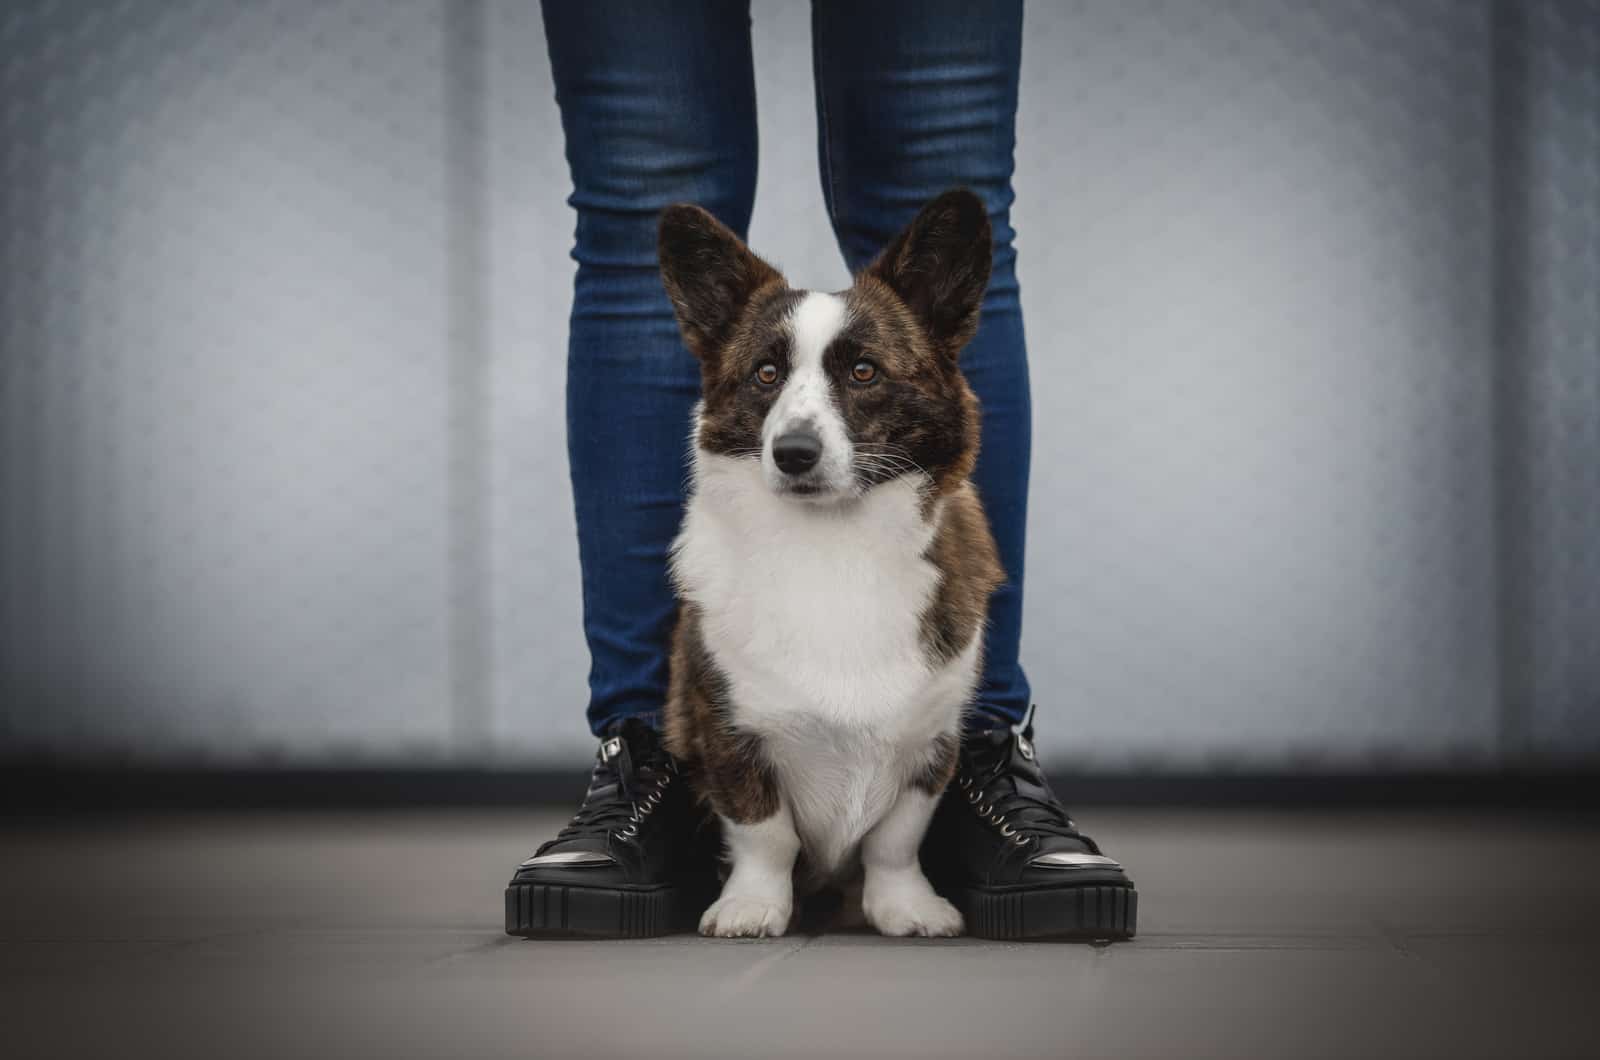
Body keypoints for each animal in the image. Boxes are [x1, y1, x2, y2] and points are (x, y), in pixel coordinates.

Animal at [652, 188, 998, 941]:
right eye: (766, 374)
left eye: (864, 371)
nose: (793, 453)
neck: (833, 543)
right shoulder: (727, 727)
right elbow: (765, 833)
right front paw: (751, 907)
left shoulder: (933, 742)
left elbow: (896, 839)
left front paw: (908, 908)